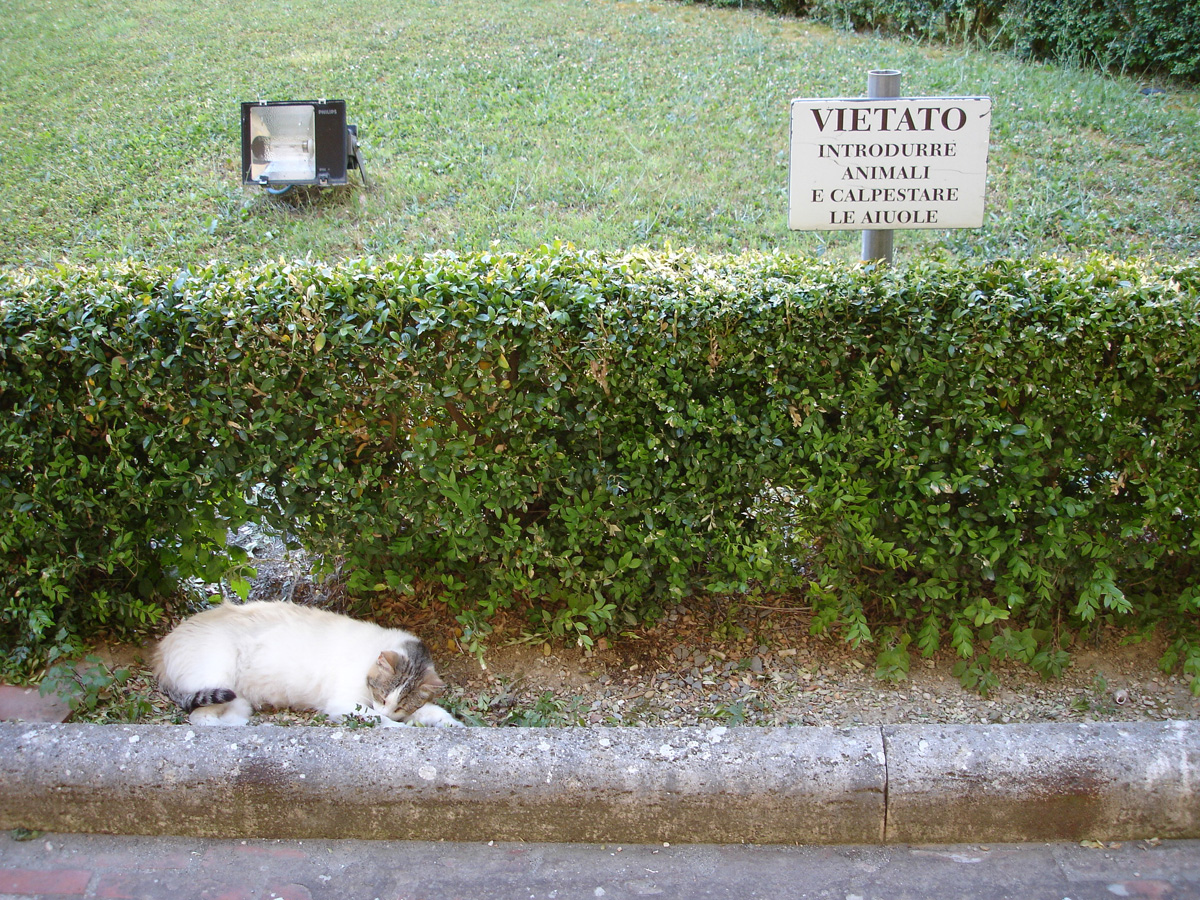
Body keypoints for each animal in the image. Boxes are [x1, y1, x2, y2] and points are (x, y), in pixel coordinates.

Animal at [152, 602, 460, 729]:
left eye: (399, 705)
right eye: (382, 697)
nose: (388, 710)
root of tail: (162, 647)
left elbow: (433, 711)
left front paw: (449, 723)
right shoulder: (346, 704)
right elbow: (378, 720)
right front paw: (398, 727)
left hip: (238, 699)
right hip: (217, 679)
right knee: (200, 718)